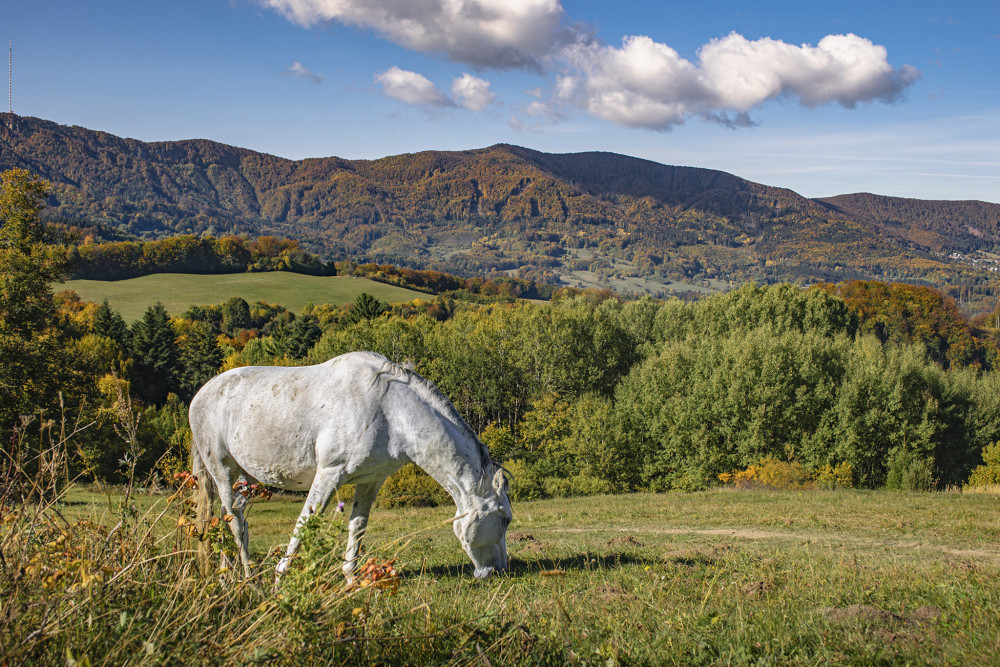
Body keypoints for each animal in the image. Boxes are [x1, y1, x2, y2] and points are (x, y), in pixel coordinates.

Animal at [188, 352, 512, 580]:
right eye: (505, 518)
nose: (500, 570)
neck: (390, 412)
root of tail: (201, 394)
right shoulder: (330, 473)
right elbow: (305, 521)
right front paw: (281, 579)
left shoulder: (370, 481)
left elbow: (358, 526)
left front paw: (351, 579)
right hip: (222, 470)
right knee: (234, 519)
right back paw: (250, 578)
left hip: (242, 477)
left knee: (229, 518)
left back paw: (225, 577)